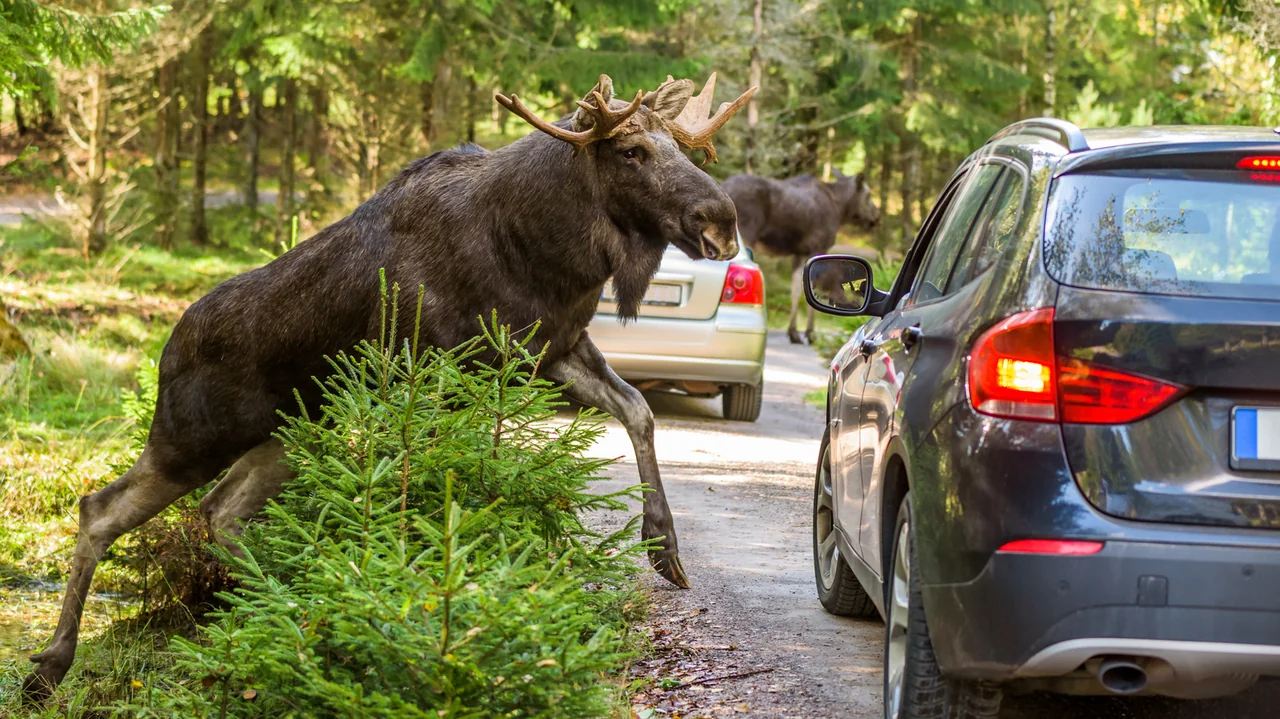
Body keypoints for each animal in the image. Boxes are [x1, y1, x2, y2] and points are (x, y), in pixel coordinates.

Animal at [22, 72, 756, 700]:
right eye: (632, 150)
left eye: (681, 147)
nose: (721, 220)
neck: (544, 251)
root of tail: (165, 352)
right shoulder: (441, 370)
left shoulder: (551, 349)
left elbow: (639, 411)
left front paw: (664, 546)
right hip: (193, 437)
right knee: (101, 508)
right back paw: (51, 666)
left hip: (287, 437)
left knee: (219, 511)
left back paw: (294, 594)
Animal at [722, 171, 880, 344]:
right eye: (868, 195)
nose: (876, 217)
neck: (840, 208)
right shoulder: (819, 248)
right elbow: (815, 289)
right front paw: (810, 333)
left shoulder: (799, 253)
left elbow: (797, 289)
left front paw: (793, 332)